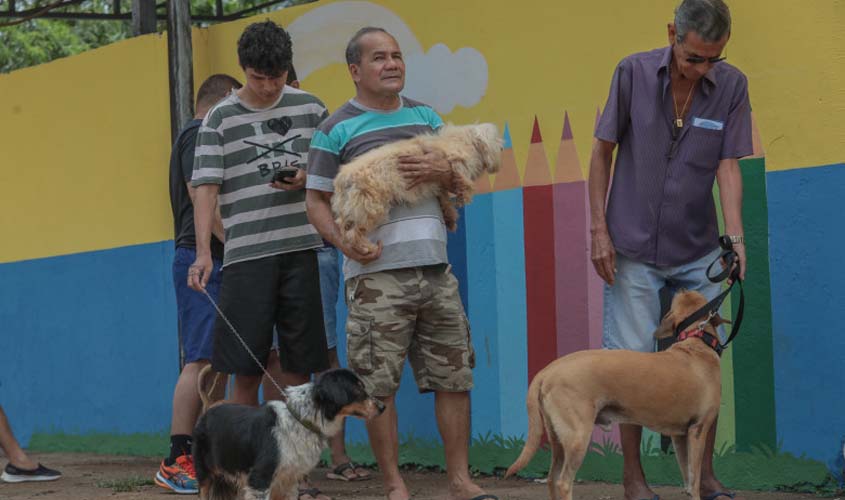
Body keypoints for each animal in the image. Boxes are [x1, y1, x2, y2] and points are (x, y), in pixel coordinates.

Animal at [193, 368, 380, 500]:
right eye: (358, 390)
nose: (382, 407)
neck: (300, 420)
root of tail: (209, 408)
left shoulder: (289, 480)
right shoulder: (259, 479)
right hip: (206, 475)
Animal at [330, 121, 502, 254]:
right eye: (496, 140)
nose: (502, 148)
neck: (466, 139)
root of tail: (344, 178)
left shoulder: (440, 180)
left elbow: (445, 198)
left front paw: (450, 217)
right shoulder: (456, 160)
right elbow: (462, 179)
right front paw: (464, 196)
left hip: (350, 210)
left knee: (344, 230)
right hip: (370, 209)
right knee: (352, 235)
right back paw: (368, 248)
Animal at [504, 290, 728, 500]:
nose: (681, 287)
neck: (696, 342)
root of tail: (547, 371)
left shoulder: (680, 436)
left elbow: (688, 477)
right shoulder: (698, 430)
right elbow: (695, 477)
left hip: (558, 439)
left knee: (551, 479)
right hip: (578, 438)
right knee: (563, 482)